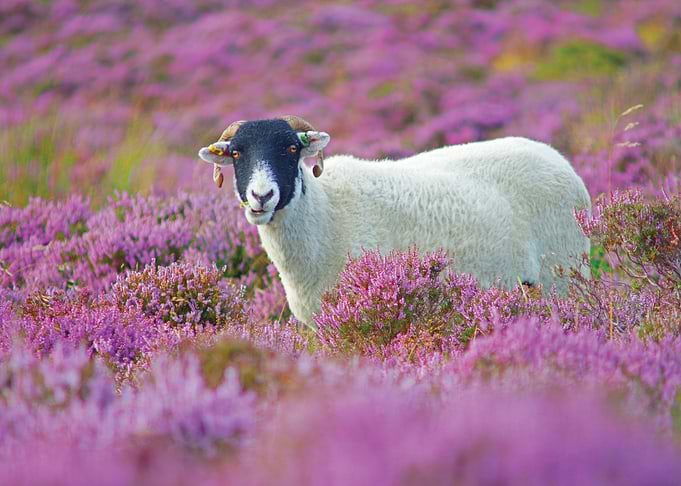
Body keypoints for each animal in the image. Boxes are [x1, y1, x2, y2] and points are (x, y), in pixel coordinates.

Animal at [198, 116, 591, 329]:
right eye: (237, 153)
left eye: (292, 149)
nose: (261, 196)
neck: (326, 212)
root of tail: (559, 160)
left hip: (562, 273)